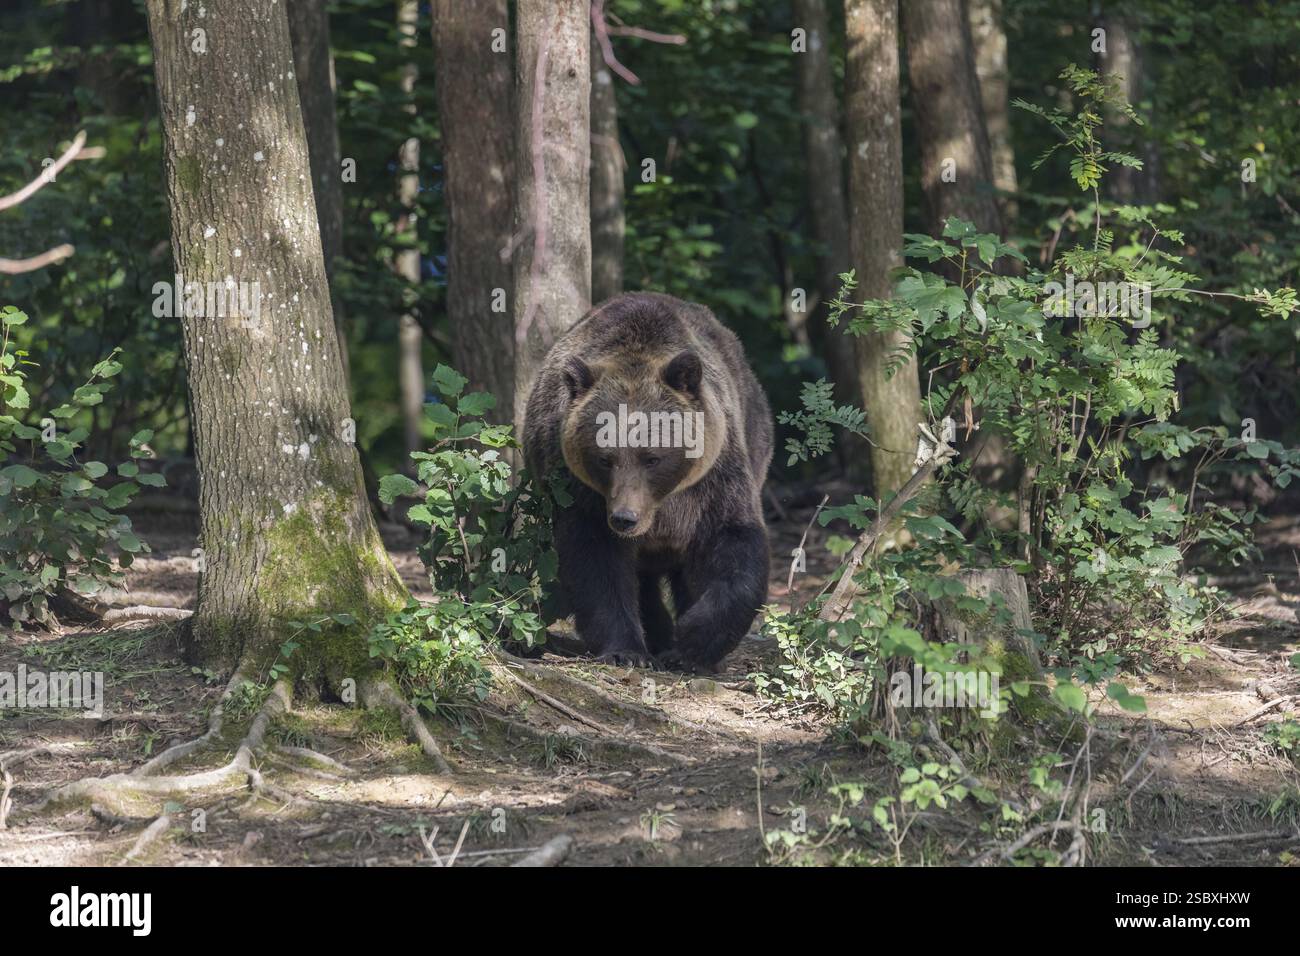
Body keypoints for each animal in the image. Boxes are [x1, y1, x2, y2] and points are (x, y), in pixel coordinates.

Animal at [523, 292, 773, 671]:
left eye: (652, 457)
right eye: (605, 458)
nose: (625, 518)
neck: (662, 506)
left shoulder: (714, 481)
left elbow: (734, 542)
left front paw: (692, 640)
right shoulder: (582, 492)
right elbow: (596, 561)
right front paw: (625, 650)